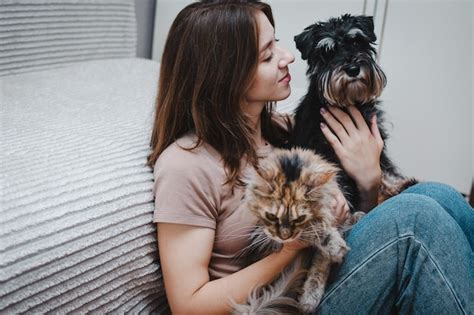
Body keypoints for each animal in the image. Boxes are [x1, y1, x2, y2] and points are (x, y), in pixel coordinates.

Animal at [290, 14, 416, 212]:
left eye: (357, 42)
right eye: (328, 52)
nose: (352, 69)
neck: (349, 103)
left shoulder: (374, 132)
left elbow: (383, 164)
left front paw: (397, 183)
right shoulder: (320, 147)